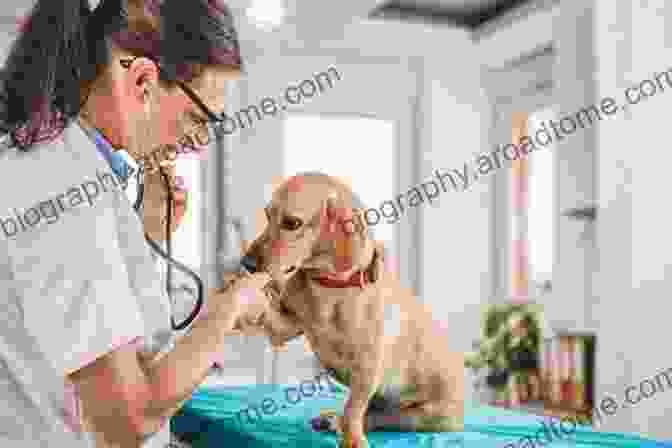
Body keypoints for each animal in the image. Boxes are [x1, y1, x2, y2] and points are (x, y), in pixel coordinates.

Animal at [244, 173, 464, 446]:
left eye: (292, 223)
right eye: (267, 215)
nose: (246, 264)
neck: (328, 287)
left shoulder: (367, 369)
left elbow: (353, 410)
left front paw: (352, 440)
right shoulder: (284, 328)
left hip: (425, 416)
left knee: (380, 418)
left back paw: (340, 423)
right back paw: (331, 419)